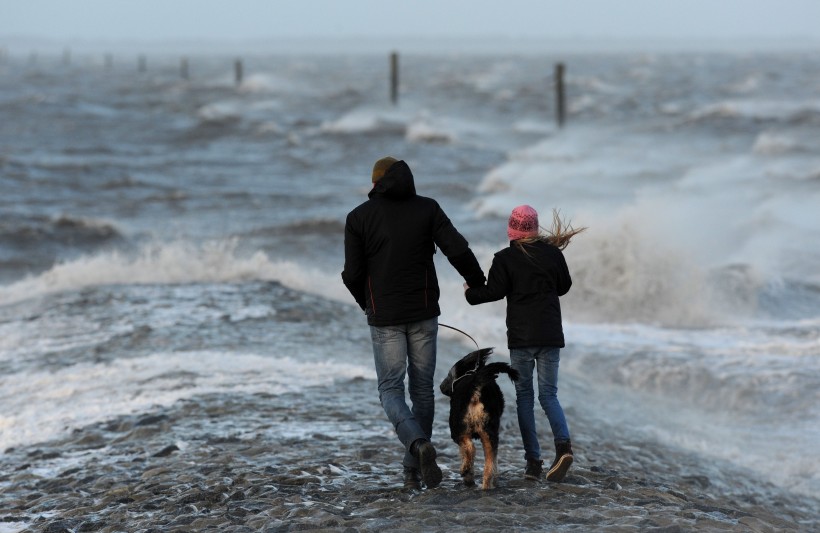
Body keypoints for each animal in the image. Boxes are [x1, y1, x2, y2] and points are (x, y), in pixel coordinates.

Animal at [442, 348, 520, 488]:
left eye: (450, 373)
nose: (441, 387)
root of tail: (476, 390)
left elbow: (463, 451)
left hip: (457, 429)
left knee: (470, 448)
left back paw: (466, 471)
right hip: (489, 432)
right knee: (490, 464)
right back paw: (487, 484)